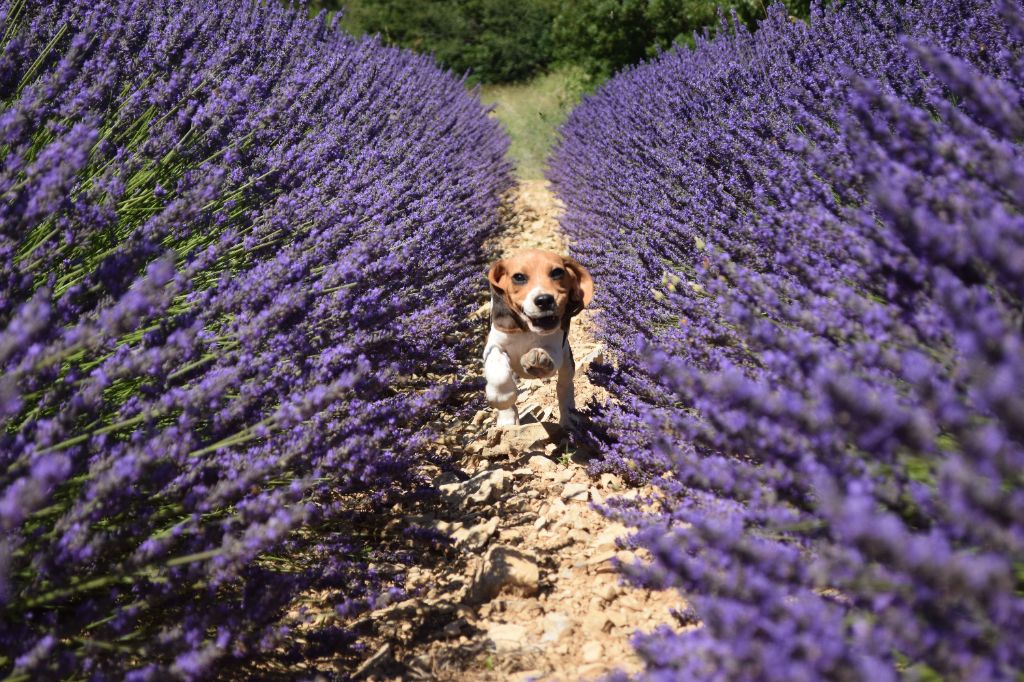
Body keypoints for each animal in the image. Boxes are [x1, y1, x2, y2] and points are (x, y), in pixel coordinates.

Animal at [483, 249, 594, 428]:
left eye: (557, 272)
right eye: (519, 277)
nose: (545, 300)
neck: (529, 329)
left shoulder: (556, 346)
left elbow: (548, 354)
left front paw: (538, 361)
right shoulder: (494, 346)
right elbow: (499, 376)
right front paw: (503, 399)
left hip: (567, 362)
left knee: (564, 386)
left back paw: (568, 418)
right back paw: (507, 420)